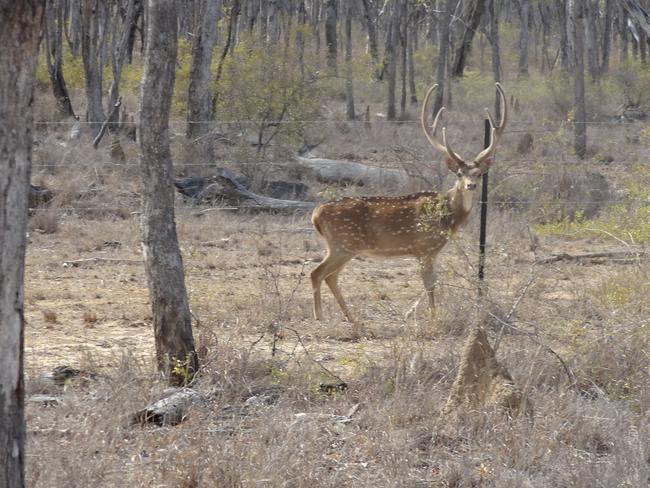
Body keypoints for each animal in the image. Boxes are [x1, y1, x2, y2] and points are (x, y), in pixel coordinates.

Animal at [308, 83, 506, 320]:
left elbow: (431, 283)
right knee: (317, 273)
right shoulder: (425, 248)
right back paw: (320, 316)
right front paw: (431, 316)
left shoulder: (427, 252)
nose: (471, 185)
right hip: (343, 244)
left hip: (342, 246)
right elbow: (430, 284)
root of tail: (316, 214)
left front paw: (414, 312)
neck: (448, 216)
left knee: (330, 276)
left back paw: (350, 317)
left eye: (478, 174)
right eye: (459, 173)